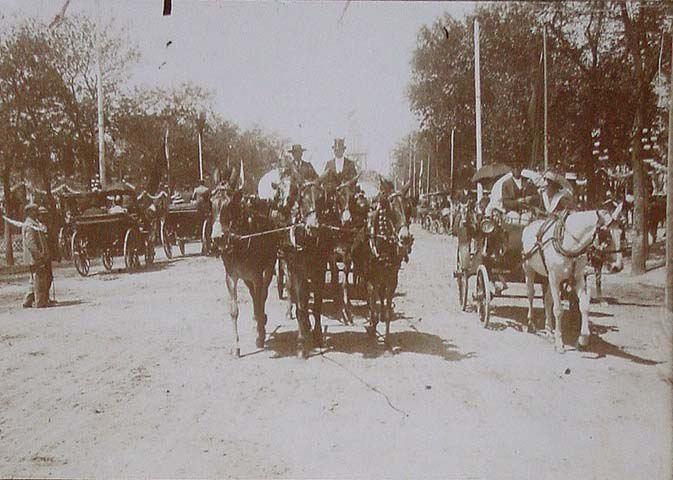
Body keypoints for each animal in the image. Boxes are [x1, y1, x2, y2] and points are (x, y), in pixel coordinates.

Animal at [207, 184, 276, 356]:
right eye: (212, 206)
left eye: (229, 205)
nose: (217, 238)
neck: (239, 239)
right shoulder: (232, 276)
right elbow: (234, 310)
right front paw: (236, 346)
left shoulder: (257, 275)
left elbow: (260, 300)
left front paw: (260, 335)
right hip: (246, 277)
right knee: (253, 295)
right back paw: (257, 320)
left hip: (269, 267)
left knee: (262, 295)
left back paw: (261, 322)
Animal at [520, 202, 624, 352]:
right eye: (606, 236)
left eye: (621, 233)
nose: (618, 266)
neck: (568, 243)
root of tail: (529, 225)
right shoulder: (555, 278)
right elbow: (558, 310)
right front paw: (559, 342)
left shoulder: (577, 278)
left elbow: (584, 306)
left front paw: (583, 339)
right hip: (528, 269)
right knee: (530, 294)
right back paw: (530, 322)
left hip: (548, 277)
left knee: (547, 300)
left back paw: (549, 330)